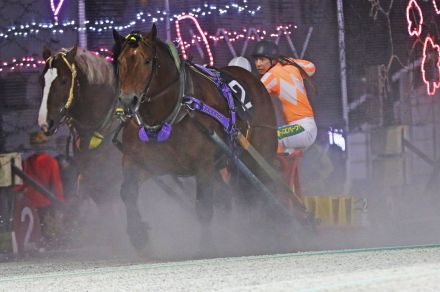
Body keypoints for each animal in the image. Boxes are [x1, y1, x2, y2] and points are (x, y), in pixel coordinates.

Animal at [113, 25, 278, 251]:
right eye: (120, 62)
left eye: (147, 61)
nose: (128, 101)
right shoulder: (142, 161)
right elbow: (127, 192)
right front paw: (138, 233)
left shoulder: (203, 166)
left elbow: (204, 208)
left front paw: (206, 246)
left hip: (259, 155)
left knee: (263, 191)